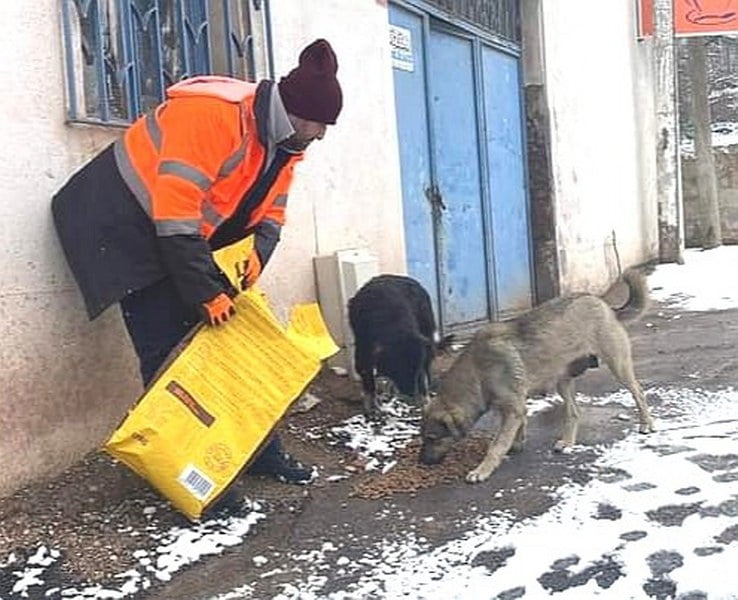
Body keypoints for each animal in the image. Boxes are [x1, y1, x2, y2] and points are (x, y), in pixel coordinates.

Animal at [344, 274, 442, 418]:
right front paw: (372, 408)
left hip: (427, 330)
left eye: (415, 368)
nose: (410, 393)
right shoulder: (362, 350)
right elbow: (368, 379)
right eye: (398, 366)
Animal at [416, 270, 652, 482]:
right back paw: (567, 442)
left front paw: (482, 470)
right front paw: (517, 444)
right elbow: (518, 427)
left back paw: (646, 424)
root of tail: (605, 305)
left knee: (639, 393)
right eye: (422, 438)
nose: (421, 463)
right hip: (562, 380)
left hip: (618, 366)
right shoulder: (514, 407)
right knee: (574, 412)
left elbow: (496, 446)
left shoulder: (513, 408)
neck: (477, 371)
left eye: (432, 438)